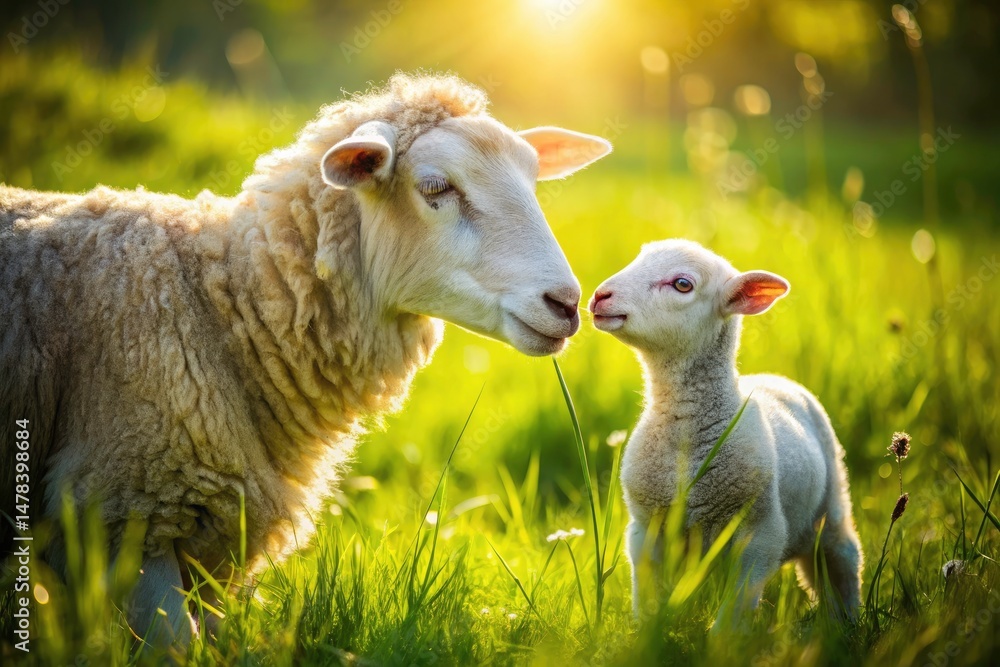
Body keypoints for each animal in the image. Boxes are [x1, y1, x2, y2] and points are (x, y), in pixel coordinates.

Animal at [588, 239, 863, 625]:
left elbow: (733, 612)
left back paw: (847, 621)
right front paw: (645, 631)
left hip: (832, 501)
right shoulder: (645, 530)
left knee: (841, 558)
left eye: (683, 284)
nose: (601, 295)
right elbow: (648, 599)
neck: (685, 439)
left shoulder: (759, 534)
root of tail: (772, 377)